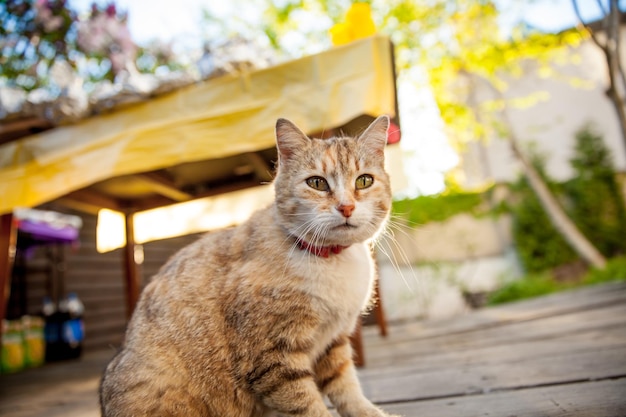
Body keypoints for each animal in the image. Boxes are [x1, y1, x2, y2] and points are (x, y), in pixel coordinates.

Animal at [100, 114, 398, 416]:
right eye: (317, 183)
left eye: (364, 181)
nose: (346, 207)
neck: (331, 258)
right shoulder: (272, 355)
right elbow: (308, 405)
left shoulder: (334, 341)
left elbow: (346, 388)